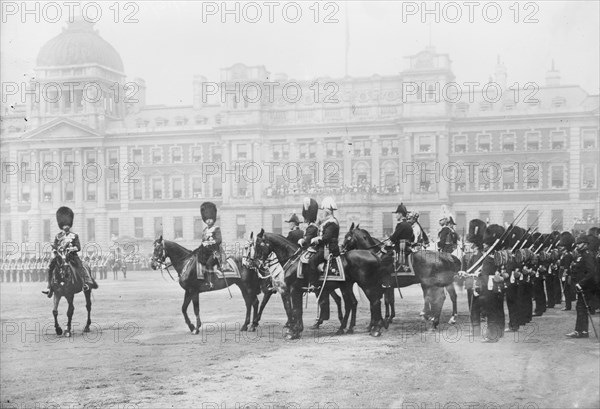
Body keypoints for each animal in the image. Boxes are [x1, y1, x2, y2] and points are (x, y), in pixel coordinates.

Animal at [253, 230, 384, 338]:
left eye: (259, 245)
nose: (256, 264)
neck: (293, 260)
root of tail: (373, 254)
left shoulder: (293, 290)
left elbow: (295, 310)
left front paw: (293, 332)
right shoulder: (294, 290)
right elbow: (297, 310)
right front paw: (297, 329)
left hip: (366, 285)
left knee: (375, 302)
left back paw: (376, 329)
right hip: (346, 286)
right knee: (351, 303)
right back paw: (345, 329)